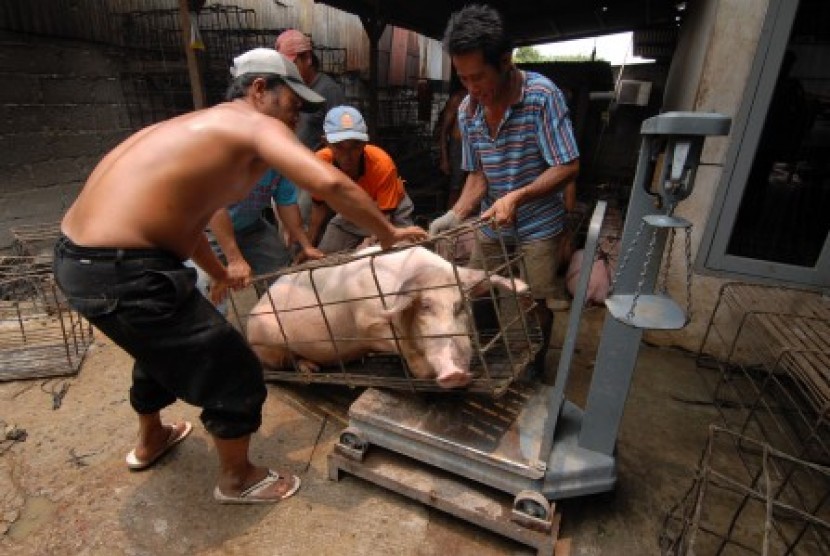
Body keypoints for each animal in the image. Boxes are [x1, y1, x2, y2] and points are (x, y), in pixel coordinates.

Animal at [245, 245, 528, 388]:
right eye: (425, 306)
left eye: (460, 306)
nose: (455, 374)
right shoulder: (368, 322)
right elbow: (402, 344)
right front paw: (423, 373)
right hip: (268, 342)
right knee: (287, 362)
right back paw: (310, 370)